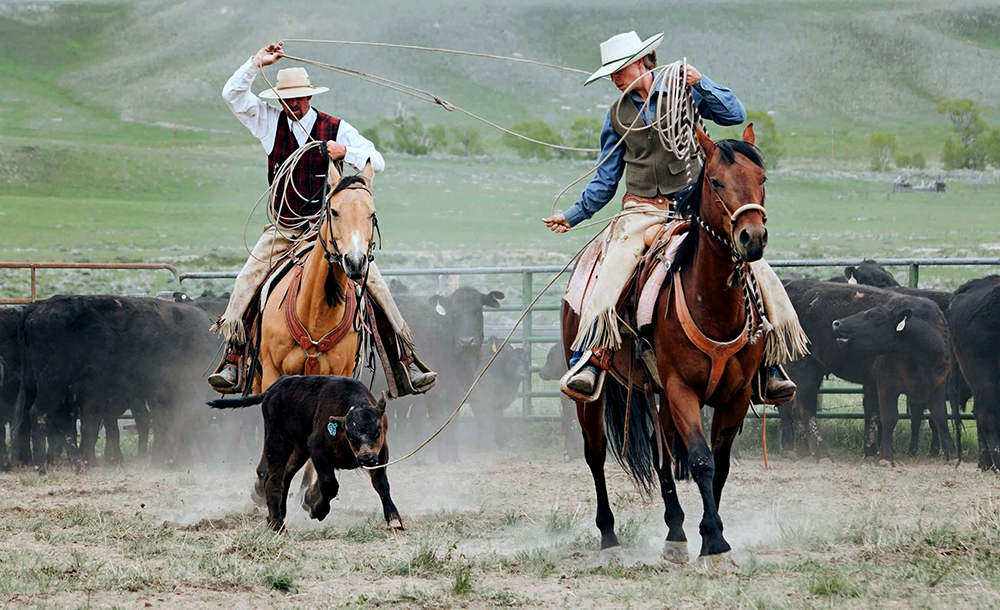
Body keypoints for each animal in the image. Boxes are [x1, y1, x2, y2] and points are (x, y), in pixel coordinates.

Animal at [208, 376, 402, 532]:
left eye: (377, 430)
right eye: (350, 435)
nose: (365, 458)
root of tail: (275, 386)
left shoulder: (381, 453)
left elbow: (381, 484)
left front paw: (394, 518)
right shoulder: (317, 450)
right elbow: (330, 485)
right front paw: (317, 510)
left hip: (298, 450)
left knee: (286, 476)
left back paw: (277, 515)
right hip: (276, 441)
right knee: (272, 480)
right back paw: (278, 525)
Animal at [248, 158, 376, 508]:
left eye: (371, 213)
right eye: (334, 210)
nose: (355, 261)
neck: (316, 313)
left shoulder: (339, 379)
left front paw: (312, 491)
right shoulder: (273, 373)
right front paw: (263, 482)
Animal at [568, 126, 768, 568]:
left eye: (762, 179)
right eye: (716, 182)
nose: (752, 237)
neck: (711, 303)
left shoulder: (736, 395)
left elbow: (720, 465)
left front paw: (707, 535)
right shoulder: (681, 390)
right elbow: (700, 460)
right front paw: (714, 541)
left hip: (656, 393)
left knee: (660, 455)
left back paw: (675, 533)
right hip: (594, 399)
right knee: (595, 454)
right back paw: (609, 539)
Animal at [780, 280, 952, 460]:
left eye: (873, 316)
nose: (837, 323)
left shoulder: (937, 384)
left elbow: (939, 417)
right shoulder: (886, 384)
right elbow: (889, 416)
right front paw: (885, 455)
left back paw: (800, 449)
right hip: (802, 368)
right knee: (805, 409)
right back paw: (818, 452)